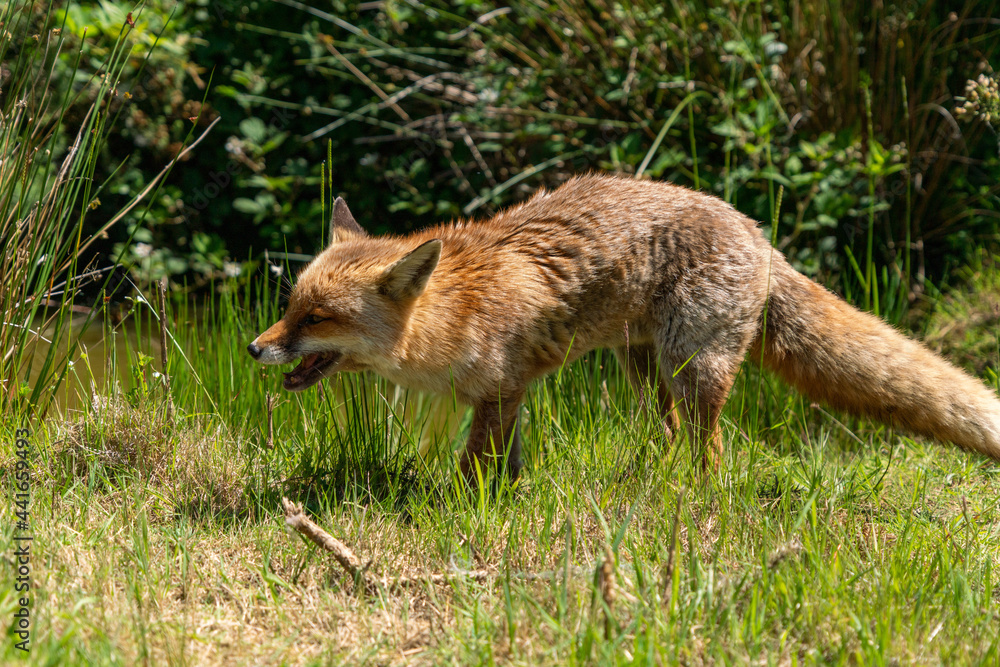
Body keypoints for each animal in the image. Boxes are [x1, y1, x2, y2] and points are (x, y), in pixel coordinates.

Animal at [247, 174, 1000, 480]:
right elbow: (504, 467)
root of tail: (757, 232)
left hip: (692, 369)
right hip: (644, 373)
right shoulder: (509, 395)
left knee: (709, 448)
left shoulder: (498, 393)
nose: (255, 347)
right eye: (291, 306)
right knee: (667, 437)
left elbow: (472, 469)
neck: (451, 314)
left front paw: (461, 511)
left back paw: (696, 499)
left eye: (318, 317)